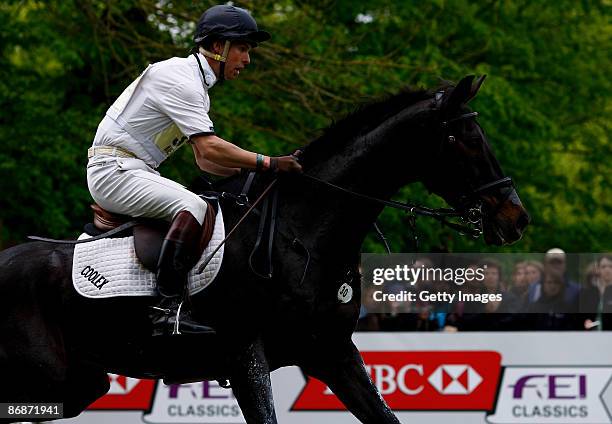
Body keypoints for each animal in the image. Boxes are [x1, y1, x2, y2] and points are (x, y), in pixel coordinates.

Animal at [0, 76, 528, 424]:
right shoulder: (244, 357)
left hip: (80, 379)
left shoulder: (332, 353)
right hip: (50, 376)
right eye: (463, 138)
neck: (305, 230)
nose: (515, 218)